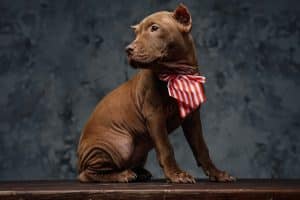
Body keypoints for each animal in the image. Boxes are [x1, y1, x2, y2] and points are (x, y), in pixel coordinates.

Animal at [78, 3, 237, 184]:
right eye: (136, 33)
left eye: (154, 28)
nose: (128, 49)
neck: (177, 73)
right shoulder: (154, 115)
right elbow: (166, 148)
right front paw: (176, 175)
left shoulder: (192, 116)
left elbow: (201, 147)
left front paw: (217, 173)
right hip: (119, 145)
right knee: (87, 174)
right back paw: (122, 175)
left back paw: (140, 172)